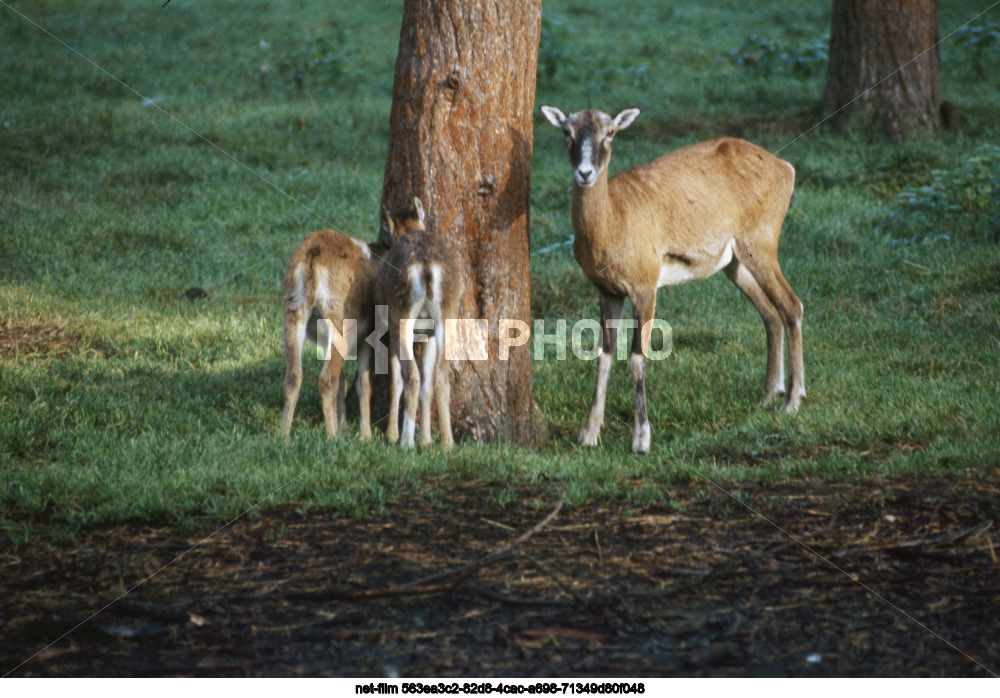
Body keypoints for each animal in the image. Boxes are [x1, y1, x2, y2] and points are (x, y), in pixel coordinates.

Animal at [376, 196, 458, 448]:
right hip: (447, 318)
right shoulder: (428, 335)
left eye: (385, 239)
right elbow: (427, 385)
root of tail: (426, 268)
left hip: (401, 316)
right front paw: (428, 440)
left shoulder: (390, 332)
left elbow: (396, 382)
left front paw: (392, 434)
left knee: (410, 377)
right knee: (440, 378)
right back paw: (448, 443)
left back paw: (405, 441)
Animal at [540, 103, 804, 452]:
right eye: (567, 132)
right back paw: (769, 395)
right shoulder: (607, 290)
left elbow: (637, 357)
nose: (585, 173)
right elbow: (604, 355)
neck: (612, 222)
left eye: (610, 132)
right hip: (733, 261)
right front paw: (588, 435)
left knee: (792, 305)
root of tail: (785, 167)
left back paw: (793, 400)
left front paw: (641, 439)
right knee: (770, 312)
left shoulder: (645, 285)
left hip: (761, 244)